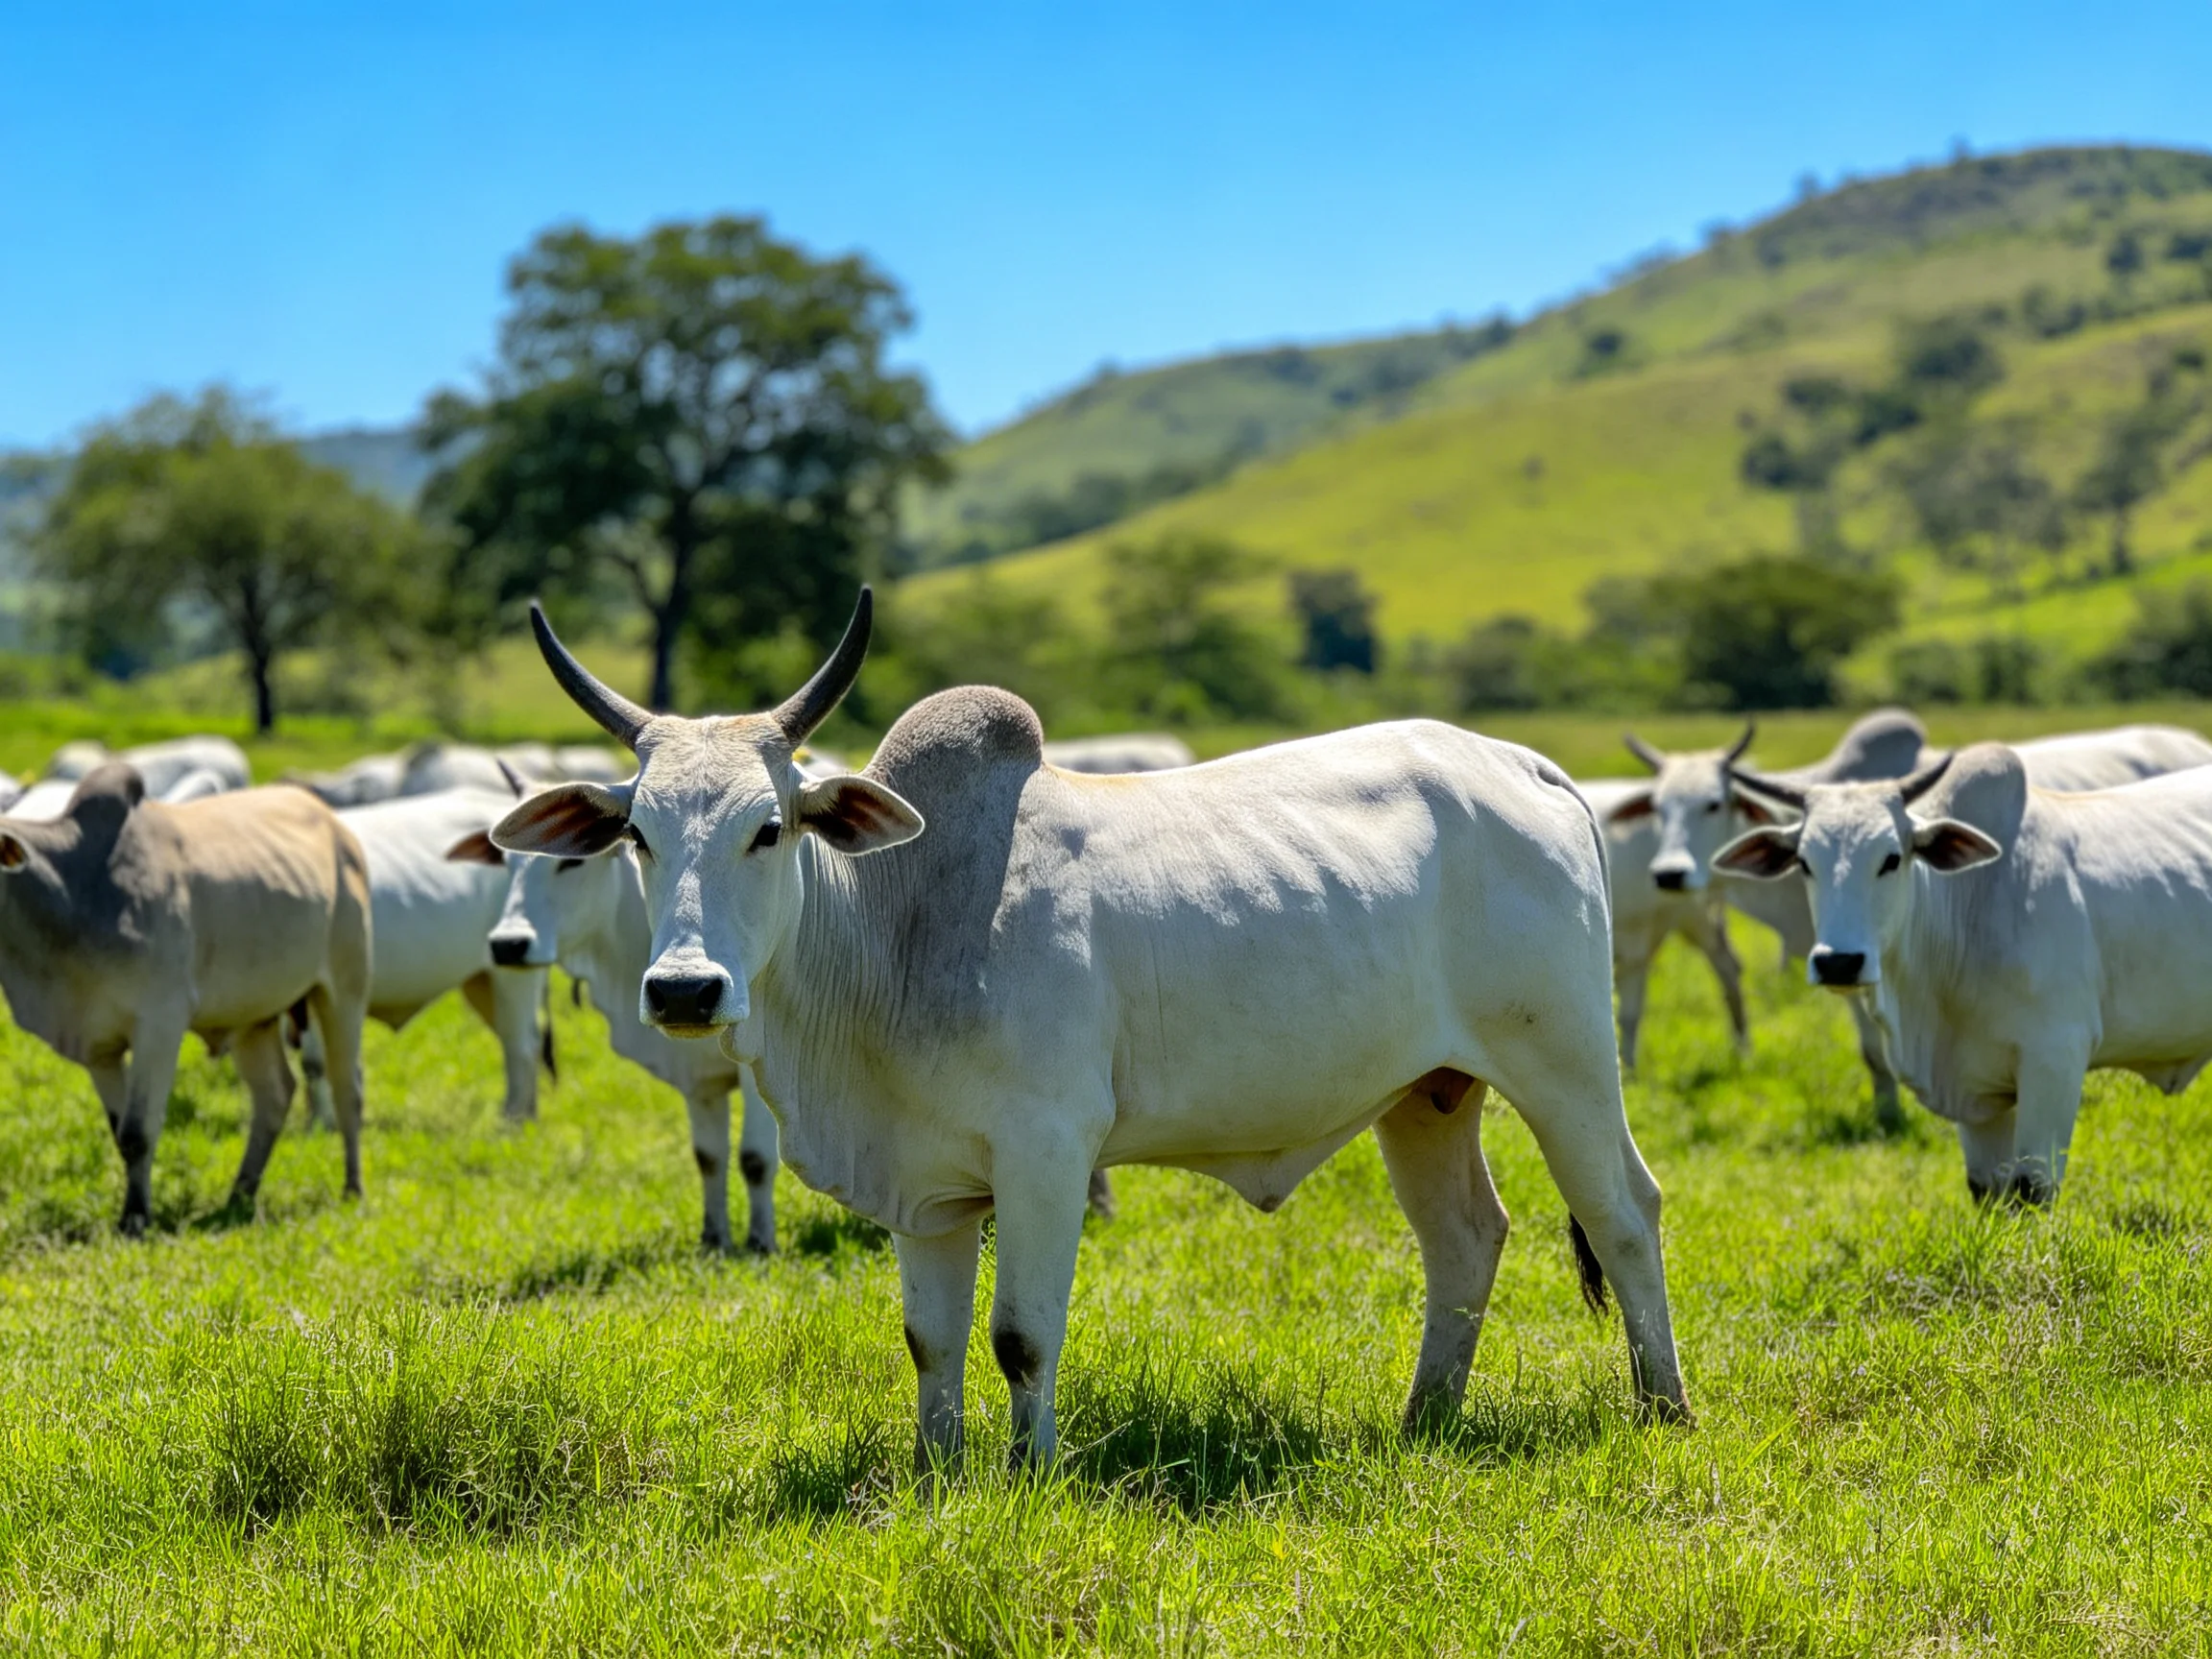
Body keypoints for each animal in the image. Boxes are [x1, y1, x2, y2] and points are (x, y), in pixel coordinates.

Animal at [0, 766, 370, 1231]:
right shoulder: (96, 1046)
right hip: (253, 1017)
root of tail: (338, 827)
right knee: (275, 1094)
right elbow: (120, 1132)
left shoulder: (159, 1023)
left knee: (347, 1090)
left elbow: (138, 1132)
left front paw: (136, 1219)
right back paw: (240, 1193)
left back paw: (352, 1188)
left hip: (344, 990)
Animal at [489, 591, 1688, 1467]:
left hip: (1565, 1063)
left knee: (1625, 1214)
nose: (686, 991)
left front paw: (1033, 1474)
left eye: (769, 828)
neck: (896, 923)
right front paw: (936, 1476)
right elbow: (930, 1342)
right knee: (1464, 1239)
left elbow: (1020, 1337)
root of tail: (1527, 765)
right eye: (637, 835)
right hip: (1427, 1092)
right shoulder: (924, 1187)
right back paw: (1423, 1420)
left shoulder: (1046, 1154)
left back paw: (1662, 1410)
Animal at [1716, 745, 2212, 1204]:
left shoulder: (2055, 1058)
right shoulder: (1974, 1095)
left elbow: (2031, 1187)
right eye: (1804, 862)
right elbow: (1988, 1189)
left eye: (1891, 859)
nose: (1838, 961)